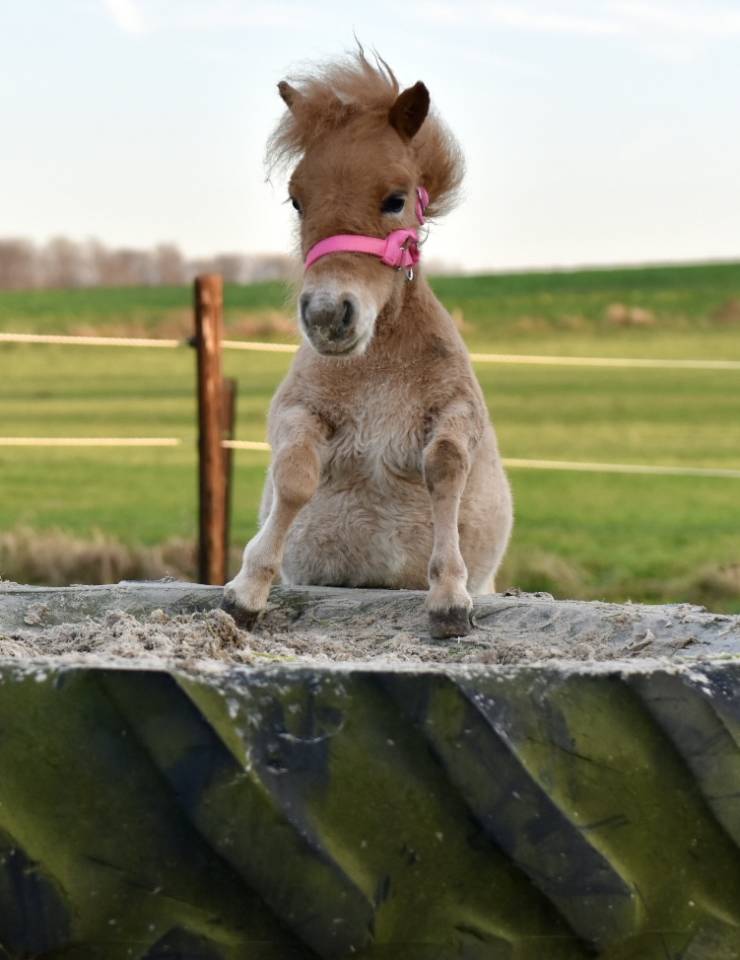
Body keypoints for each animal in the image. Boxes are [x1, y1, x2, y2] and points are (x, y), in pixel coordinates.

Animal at [224, 52, 513, 639]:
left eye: (395, 199)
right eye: (297, 200)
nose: (328, 314)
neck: (378, 365)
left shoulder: (459, 411)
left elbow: (444, 465)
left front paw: (449, 597)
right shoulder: (296, 411)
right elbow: (295, 476)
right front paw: (248, 590)